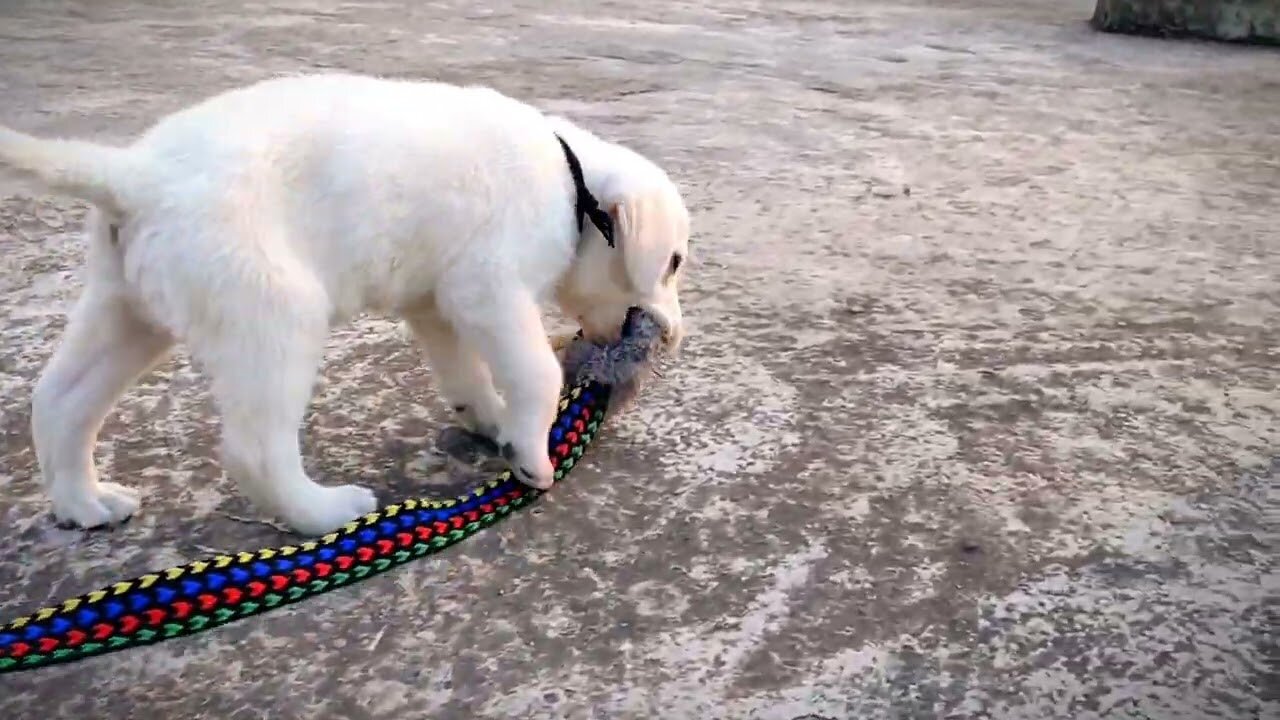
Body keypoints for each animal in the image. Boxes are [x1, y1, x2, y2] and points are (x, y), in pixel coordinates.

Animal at [0, 73, 691, 532]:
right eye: (674, 263)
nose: (671, 337)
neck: (571, 185)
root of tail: (136, 177)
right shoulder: (487, 287)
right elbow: (537, 372)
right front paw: (532, 454)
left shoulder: (436, 302)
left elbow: (465, 372)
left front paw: (492, 421)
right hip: (276, 314)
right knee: (255, 450)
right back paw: (325, 512)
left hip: (128, 310)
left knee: (60, 400)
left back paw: (84, 503)